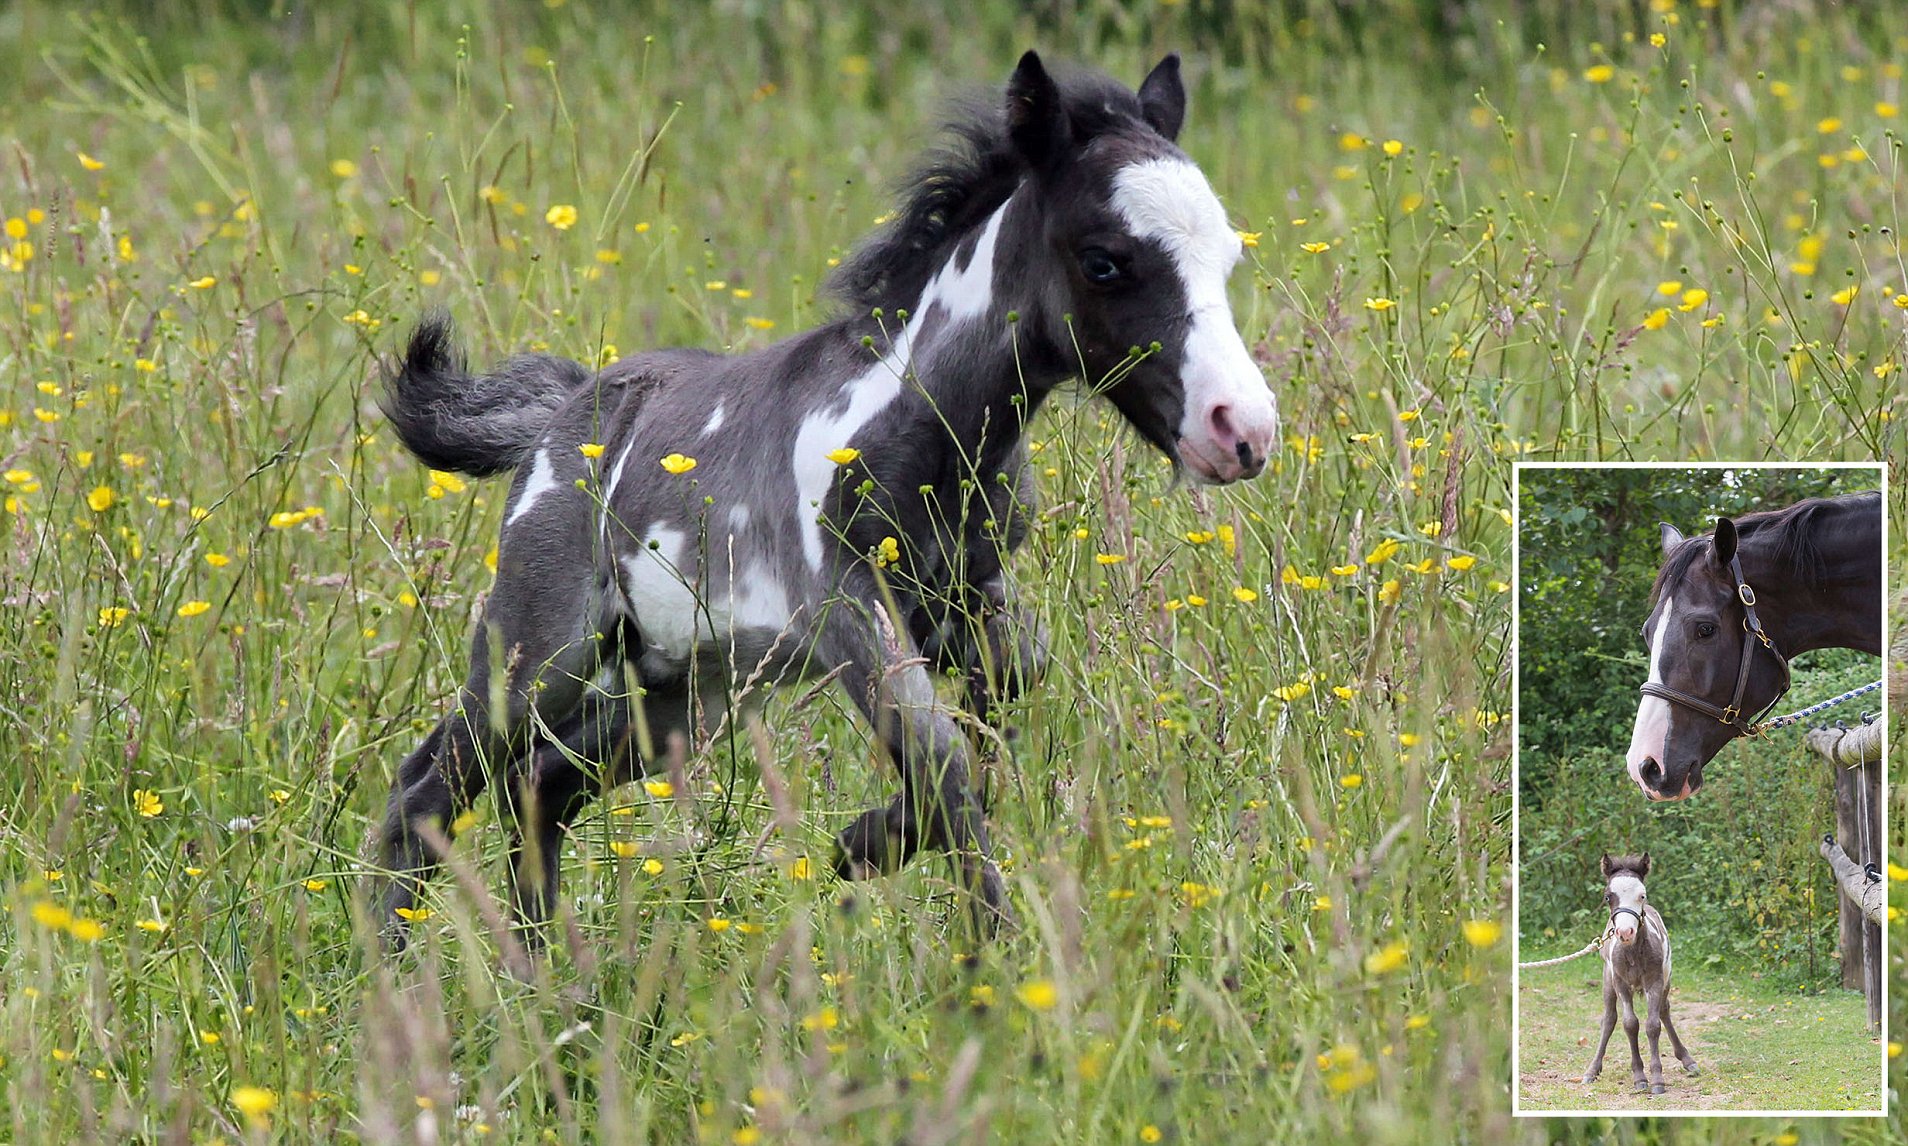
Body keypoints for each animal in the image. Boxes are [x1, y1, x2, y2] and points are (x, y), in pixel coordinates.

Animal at [368, 51, 1282, 945]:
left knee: (543, 784)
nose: (1242, 429)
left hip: (692, 687)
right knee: (428, 787)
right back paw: (398, 972)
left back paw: (550, 979)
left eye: (1229, 257)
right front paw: (976, 947)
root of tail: (564, 413)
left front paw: (870, 845)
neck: (915, 430)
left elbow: (1002, 706)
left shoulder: (967, 594)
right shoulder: (848, 608)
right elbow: (943, 763)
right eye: (1104, 260)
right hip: (539, 653)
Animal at [1579, 854, 1701, 1098]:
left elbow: (1653, 1025)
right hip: (1608, 981)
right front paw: (1639, 1077)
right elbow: (1629, 1024)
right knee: (1609, 1019)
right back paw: (1592, 1070)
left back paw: (1687, 1059)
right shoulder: (1620, 983)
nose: (1625, 932)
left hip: (1666, 979)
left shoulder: (1655, 981)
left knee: (1664, 1011)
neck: (1633, 952)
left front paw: (1657, 1079)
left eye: (1642, 895)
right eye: (1608, 897)